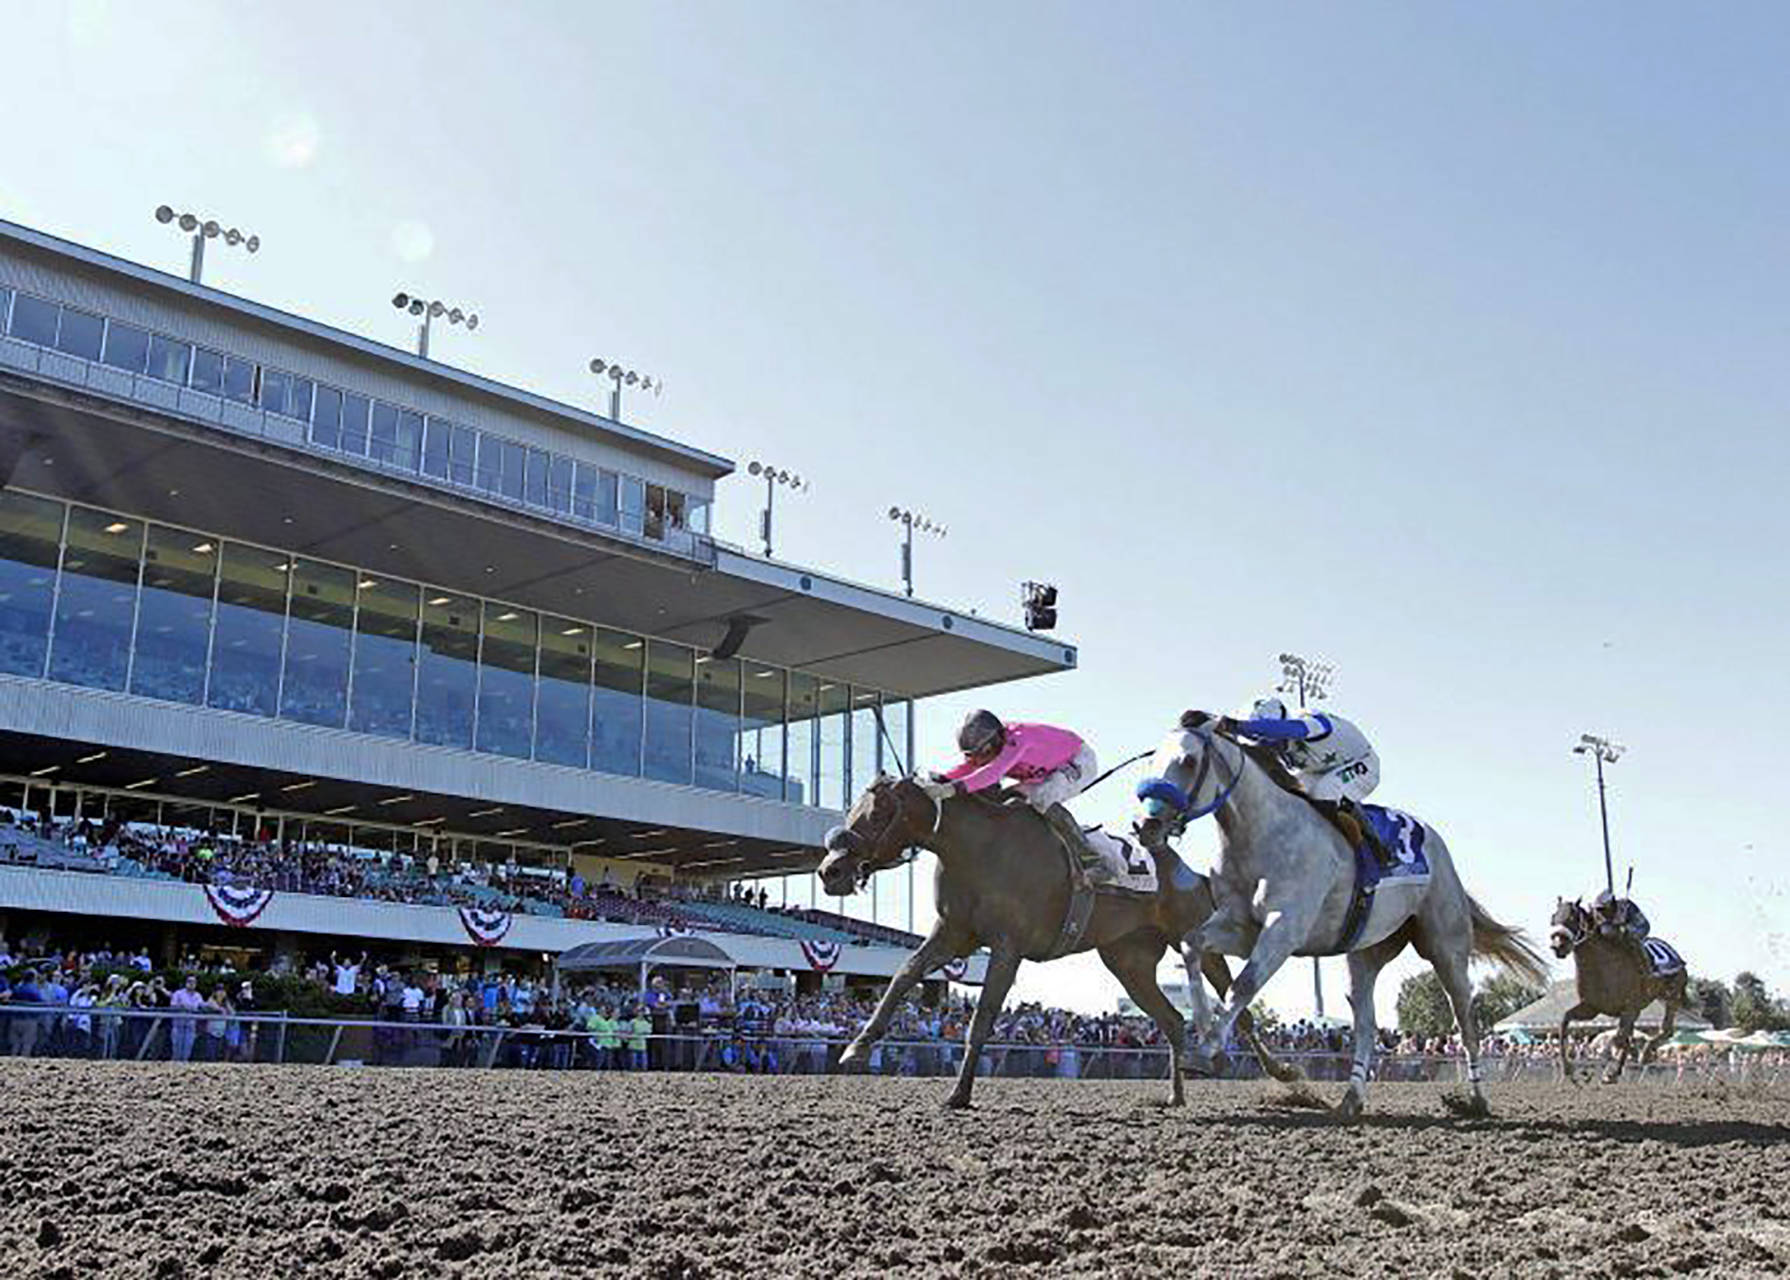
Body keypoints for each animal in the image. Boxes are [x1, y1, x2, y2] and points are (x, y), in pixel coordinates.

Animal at [819, 769, 1295, 1109]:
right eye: (853, 808)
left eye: (879, 812)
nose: (830, 870)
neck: (975, 846)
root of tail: (1191, 873)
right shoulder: (953, 935)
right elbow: (903, 974)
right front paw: (856, 1048)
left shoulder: (1007, 945)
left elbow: (983, 1016)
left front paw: (959, 1094)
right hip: (1129, 963)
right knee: (1173, 1021)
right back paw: (1175, 1096)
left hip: (1196, 940)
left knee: (1240, 1011)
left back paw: (1283, 1076)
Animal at [1145, 716, 1553, 1117]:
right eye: (1152, 761)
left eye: (1188, 761)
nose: (1146, 827)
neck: (1262, 833)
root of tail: (1441, 853)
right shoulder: (1241, 926)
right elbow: (1191, 945)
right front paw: (1203, 1035)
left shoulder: (1283, 929)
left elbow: (1242, 985)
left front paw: (1206, 1050)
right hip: (1365, 953)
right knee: (1366, 1024)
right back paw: (1352, 1098)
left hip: (1446, 949)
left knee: (1465, 1023)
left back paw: (1477, 1100)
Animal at [1546, 895, 1682, 1088]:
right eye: (1554, 917)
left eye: (1572, 917)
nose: (1558, 945)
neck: (1603, 965)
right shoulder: (1591, 1008)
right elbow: (1564, 1023)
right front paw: (1572, 1072)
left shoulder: (1629, 1007)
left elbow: (1616, 1040)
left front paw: (1599, 1072)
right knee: (1630, 1037)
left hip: (1671, 996)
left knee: (1665, 1030)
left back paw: (1645, 1054)